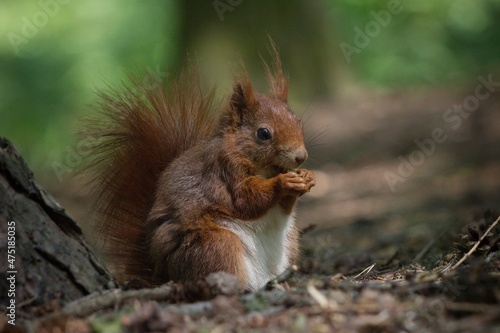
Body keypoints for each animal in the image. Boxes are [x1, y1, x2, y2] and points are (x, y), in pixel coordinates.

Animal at [81, 44, 316, 290]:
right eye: (263, 133)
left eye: (298, 122)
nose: (301, 156)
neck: (265, 169)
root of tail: (166, 275)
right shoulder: (222, 171)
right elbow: (246, 199)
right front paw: (284, 182)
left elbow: (283, 207)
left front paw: (307, 178)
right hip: (216, 244)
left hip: (289, 240)